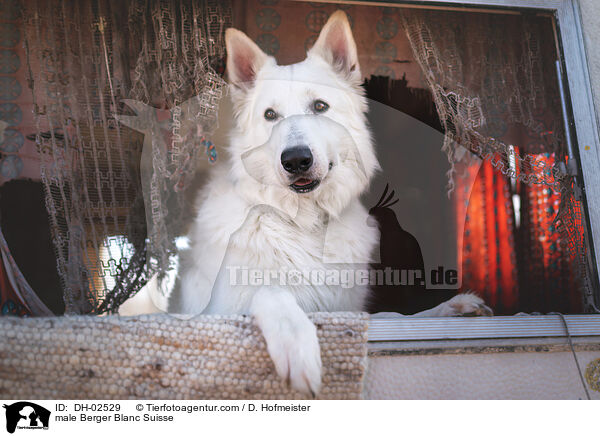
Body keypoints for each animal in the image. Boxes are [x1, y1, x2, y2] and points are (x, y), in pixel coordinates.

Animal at [171, 11, 490, 396]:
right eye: (270, 115)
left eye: (320, 107)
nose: (296, 160)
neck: (304, 224)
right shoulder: (207, 315)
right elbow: (270, 291)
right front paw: (297, 345)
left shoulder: (348, 309)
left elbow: (391, 317)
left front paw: (446, 310)